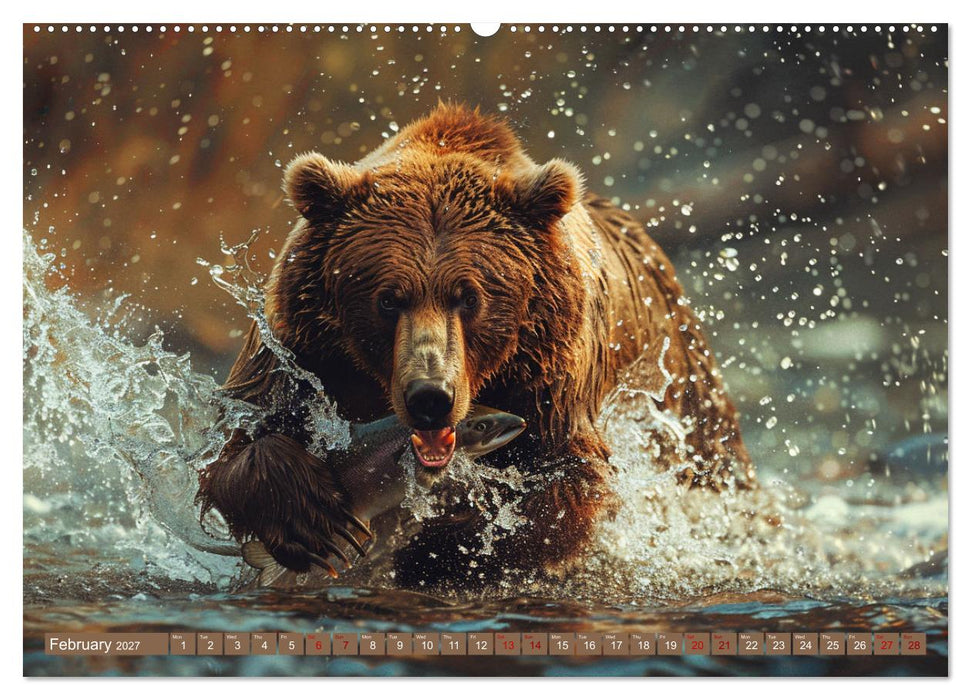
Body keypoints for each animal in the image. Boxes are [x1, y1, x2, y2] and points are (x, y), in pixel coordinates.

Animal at [198, 103, 755, 589]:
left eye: (469, 297)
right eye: (387, 298)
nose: (430, 396)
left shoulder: (553, 378)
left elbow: (564, 490)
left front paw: (445, 542)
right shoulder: (300, 351)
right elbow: (234, 448)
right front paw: (311, 516)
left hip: (684, 387)